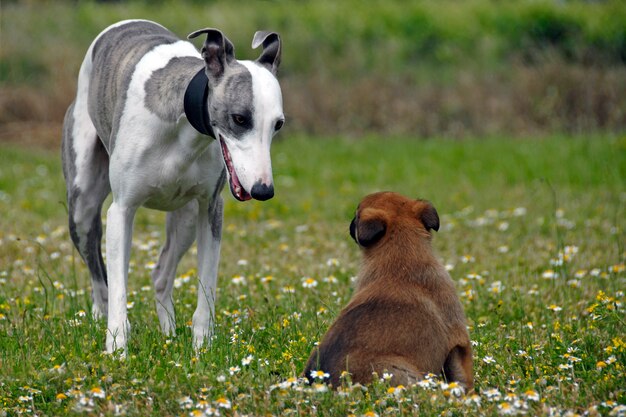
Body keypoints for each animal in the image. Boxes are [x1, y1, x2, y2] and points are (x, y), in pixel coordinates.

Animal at [61, 18, 282, 352]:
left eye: (278, 125)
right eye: (240, 118)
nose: (263, 190)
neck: (184, 128)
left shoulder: (210, 210)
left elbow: (206, 287)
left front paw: (201, 347)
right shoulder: (122, 210)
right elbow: (119, 287)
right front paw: (118, 347)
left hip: (186, 218)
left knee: (160, 276)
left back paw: (169, 333)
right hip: (82, 209)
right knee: (100, 280)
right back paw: (101, 319)